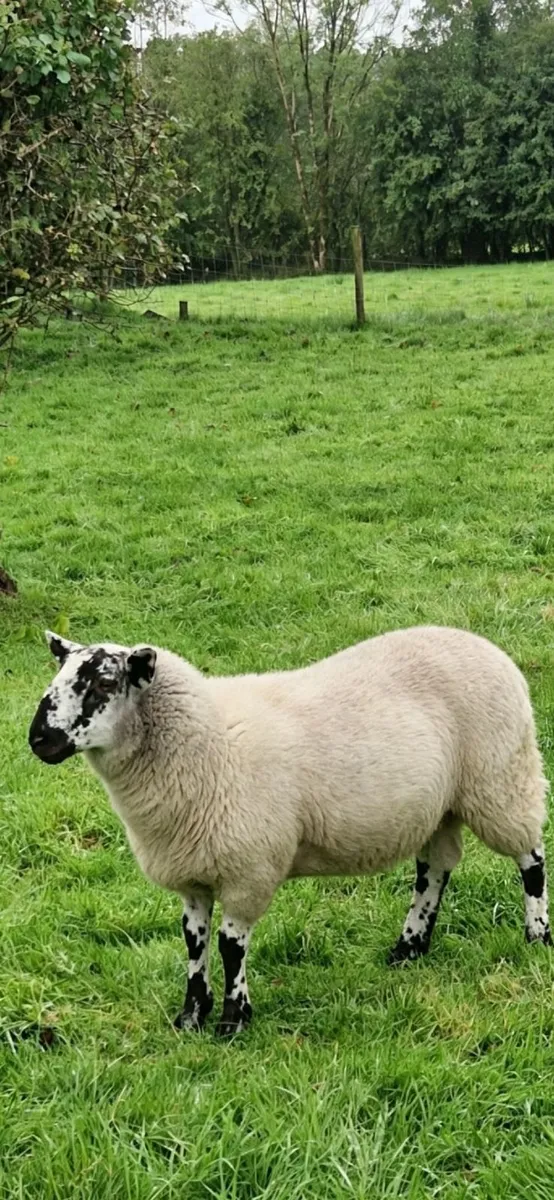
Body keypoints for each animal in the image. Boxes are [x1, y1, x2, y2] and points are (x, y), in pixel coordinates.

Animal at [29, 625, 550, 1037]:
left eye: (103, 682)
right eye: (57, 679)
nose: (38, 740)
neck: (206, 742)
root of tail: (485, 645)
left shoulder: (249, 870)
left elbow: (230, 946)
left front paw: (233, 1021)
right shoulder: (192, 875)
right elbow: (194, 942)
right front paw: (190, 1018)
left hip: (500, 779)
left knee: (531, 858)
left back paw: (536, 935)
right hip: (440, 804)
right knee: (435, 869)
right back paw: (409, 948)